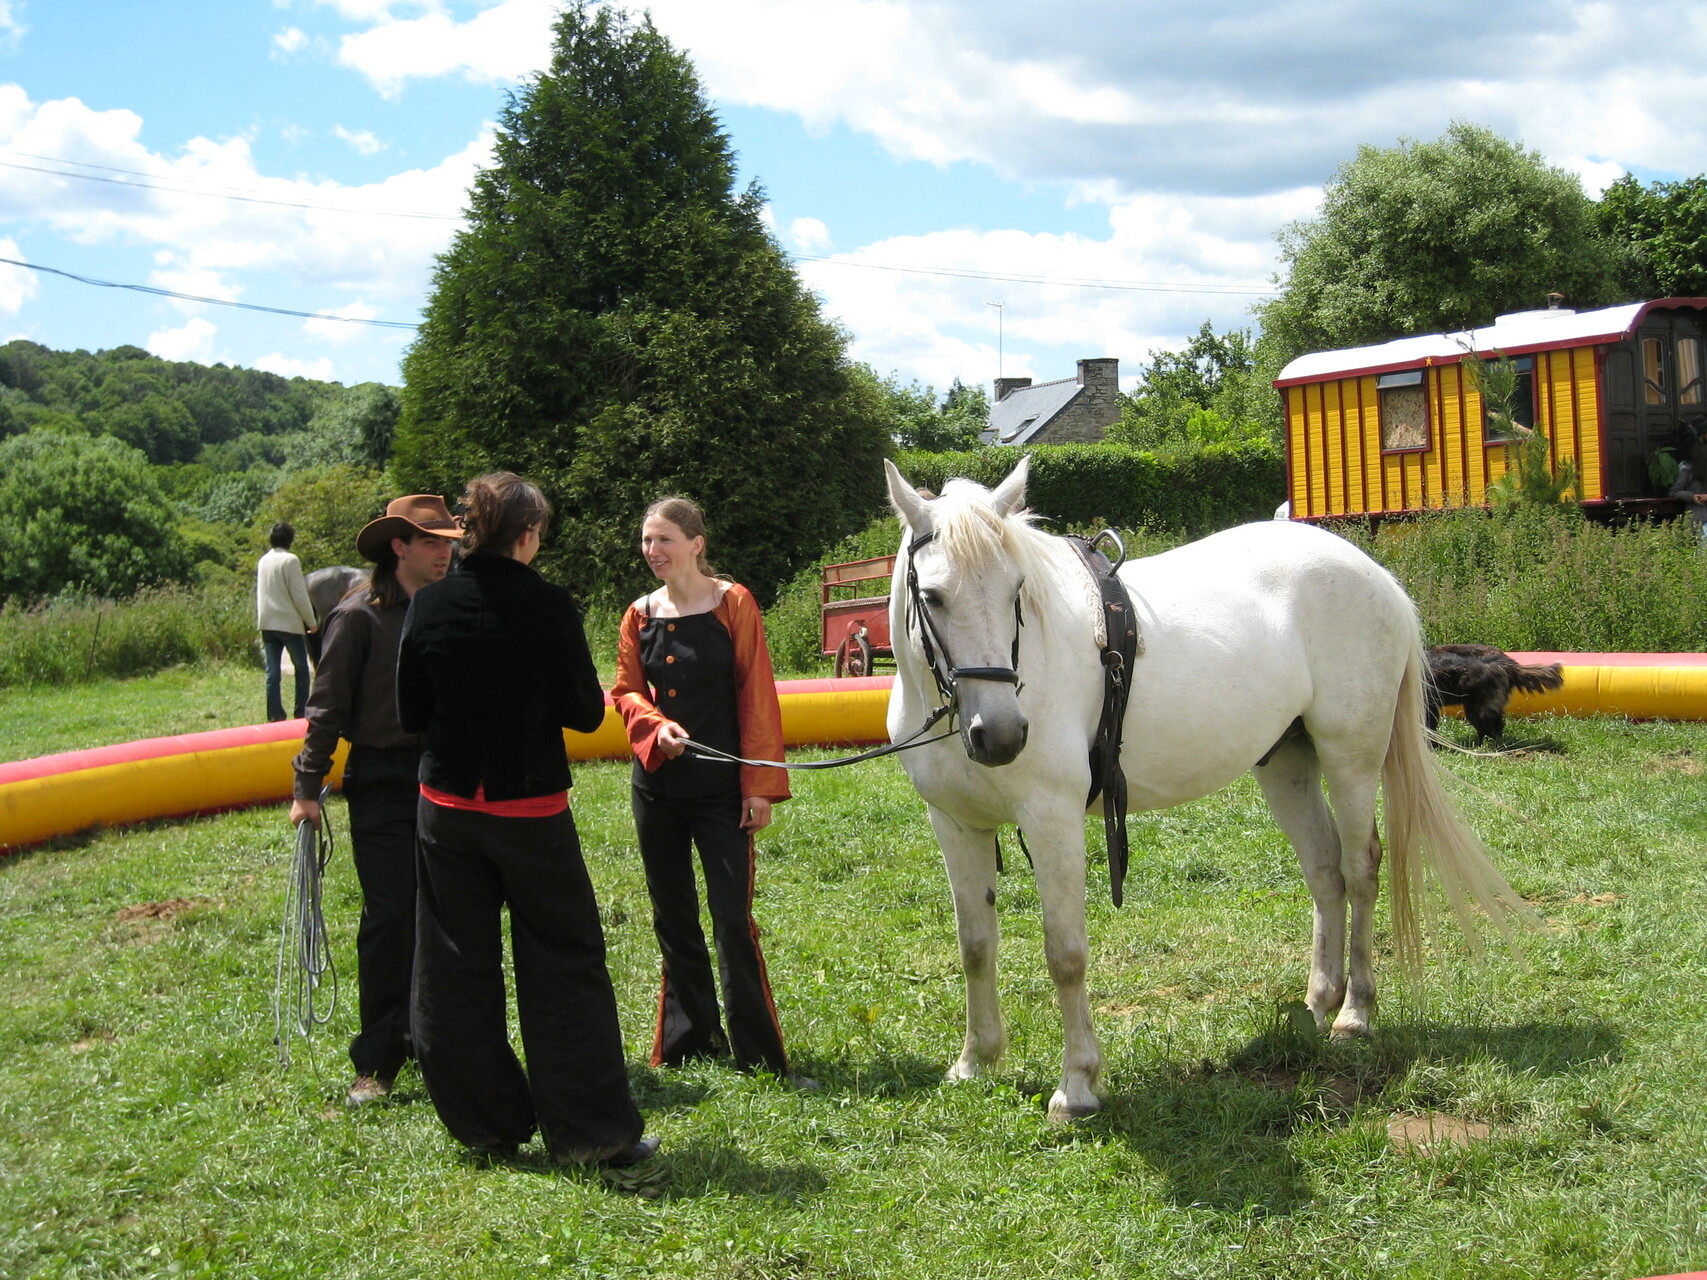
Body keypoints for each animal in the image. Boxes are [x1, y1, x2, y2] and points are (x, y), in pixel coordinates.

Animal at [882, 457, 1532, 1121]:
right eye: (932, 596)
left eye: (1017, 589)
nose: (1002, 735)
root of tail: (1373, 574)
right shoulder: (955, 825)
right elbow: (975, 945)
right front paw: (975, 1062)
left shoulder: (1052, 820)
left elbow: (1065, 952)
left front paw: (1078, 1085)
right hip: (1286, 763)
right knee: (1325, 872)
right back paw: (1319, 1002)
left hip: (1351, 758)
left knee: (1360, 869)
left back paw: (1355, 1015)